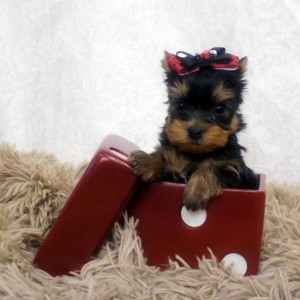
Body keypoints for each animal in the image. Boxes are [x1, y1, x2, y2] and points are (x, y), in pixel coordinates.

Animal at [127, 47, 258, 211]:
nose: (195, 131)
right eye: (181, 105)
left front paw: (196, 191)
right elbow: (164, 157)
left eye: (220, 109)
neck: (195, 153)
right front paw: (147, 161)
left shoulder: (236, 171)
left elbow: (216, 169)